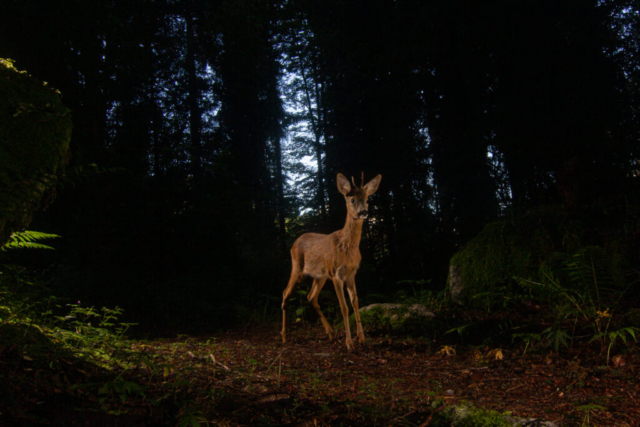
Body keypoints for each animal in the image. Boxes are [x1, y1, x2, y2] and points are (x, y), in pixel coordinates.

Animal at [280, 171, 380, 352]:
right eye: (352, 199)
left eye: (367, 199)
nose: (363, 212)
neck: (347, 247)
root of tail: (294, 243)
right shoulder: (336, 274)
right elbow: (344, 307)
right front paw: (349, 344)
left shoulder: (351, 273)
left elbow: (355, 303)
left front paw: (362, 339)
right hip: (298, 269)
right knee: (285, 293)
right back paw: (284, 336)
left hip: (320, 276)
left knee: (311, 296)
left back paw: (331, 333)